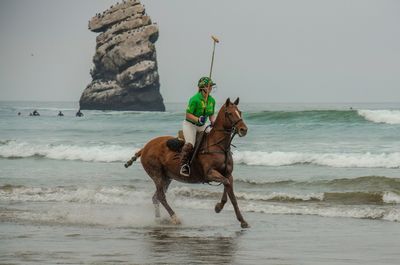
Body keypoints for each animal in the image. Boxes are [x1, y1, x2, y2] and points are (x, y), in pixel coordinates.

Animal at [125, 97, 250, 227]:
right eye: (229, 113)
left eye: (239, 112)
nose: (243, 129)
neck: (219, 146)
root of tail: (145, 148)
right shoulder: (210, 173)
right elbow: (226, 183)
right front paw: (219, 207)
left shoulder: (228, 174)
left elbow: (231, 193)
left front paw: (241, 220)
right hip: (157, 174)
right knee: (161, 196)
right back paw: (174, 218)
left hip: (167, 177)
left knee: (156, 197)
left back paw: (159, 220)